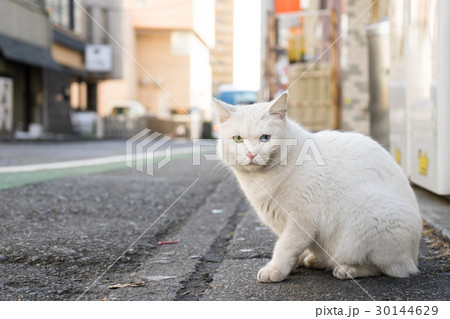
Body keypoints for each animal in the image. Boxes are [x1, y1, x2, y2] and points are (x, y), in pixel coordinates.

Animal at [213, 93, 424, 282]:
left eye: (265, 138)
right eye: (238, 139)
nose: (251, 154)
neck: (259, 181)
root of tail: (414, 256)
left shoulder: (301, 221)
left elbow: (284, 247)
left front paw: (275, 269)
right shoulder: (286, 224)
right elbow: (292, 247)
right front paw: (293, 263)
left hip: (375, 225)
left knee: (387, 269)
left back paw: (347, 269)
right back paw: (315, 260)